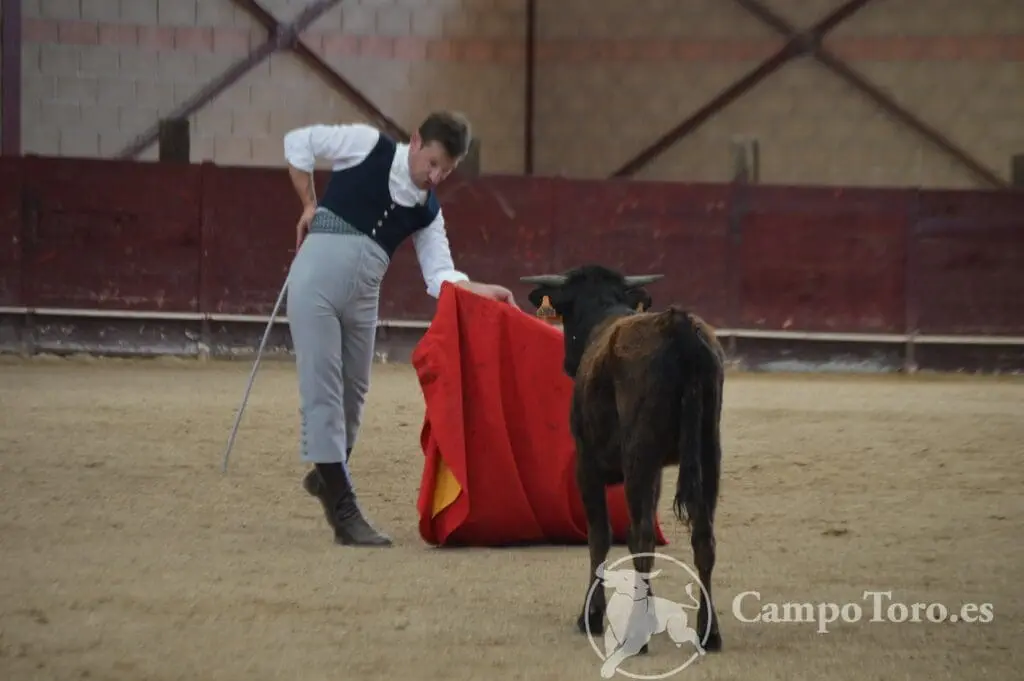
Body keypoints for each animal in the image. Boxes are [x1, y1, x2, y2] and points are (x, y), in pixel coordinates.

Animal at [520, 264, 729, 655]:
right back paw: (710, 634)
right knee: (703, 538)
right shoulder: (658, 473)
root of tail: (677, 327)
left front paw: (590, 617)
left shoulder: (587, 463)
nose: (567, 363)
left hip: (638, 456)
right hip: (709, 453)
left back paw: (636, 636)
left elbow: (599, 536)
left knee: (643, 539)